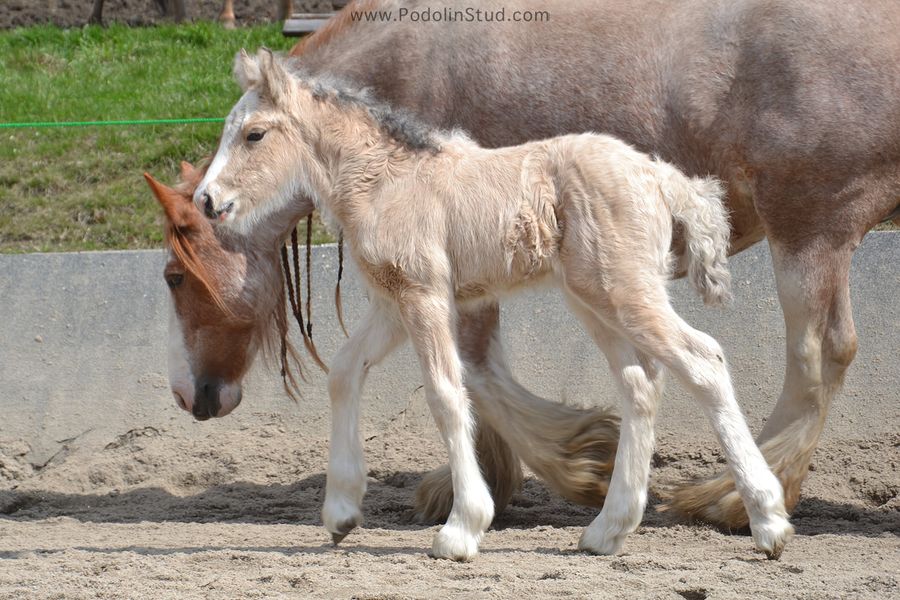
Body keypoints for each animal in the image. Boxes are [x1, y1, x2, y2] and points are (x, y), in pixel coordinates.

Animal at [193, 49, 792, 560]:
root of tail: (661, 176)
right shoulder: (391, 304)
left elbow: (444, 392)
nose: (206, 200)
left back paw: (767, 520)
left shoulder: (425, 294)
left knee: (703, 360)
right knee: (640, 384)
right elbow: (343, 371)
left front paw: (462, 529)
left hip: (624, 291)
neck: (386, 182)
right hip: (594, 299)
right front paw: (341, 511)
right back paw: (607, 530)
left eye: (253, 133)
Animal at [253, 0, 900, 528]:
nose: (218, 397)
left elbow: (470, 372)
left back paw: (734, 499)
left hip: (804, 227)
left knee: (813, 352)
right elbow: (466, 369)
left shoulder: (444, 281)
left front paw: (566, 468)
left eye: (252, 135)